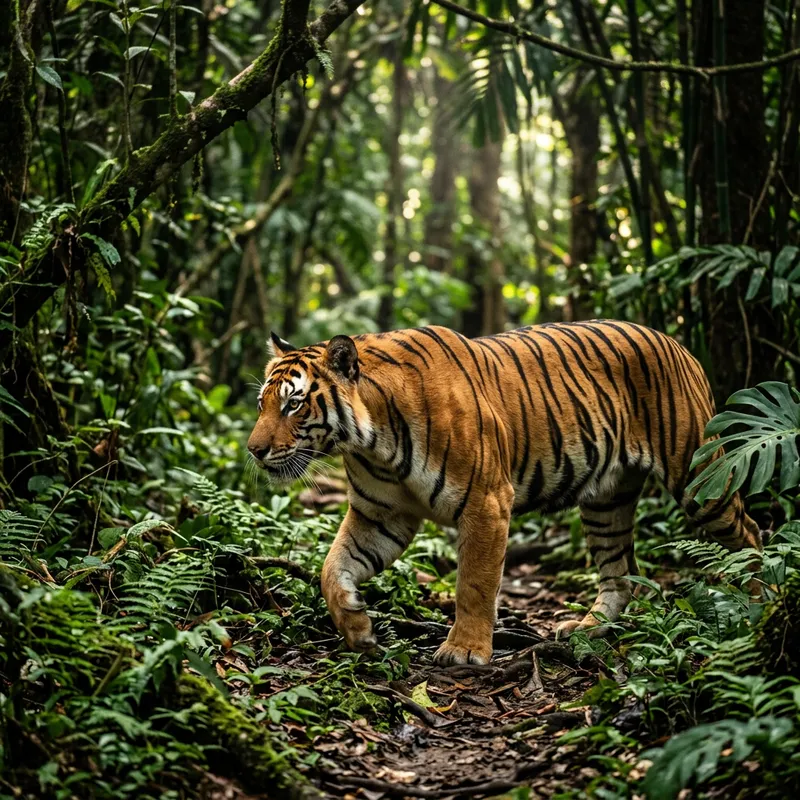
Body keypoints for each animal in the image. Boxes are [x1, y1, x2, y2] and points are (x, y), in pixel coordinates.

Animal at [246, 321, 762, 665]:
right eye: (262, 404)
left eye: (293, 404)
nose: (253, 450)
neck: (371, 442)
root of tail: (679, 344)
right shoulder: (380, 514)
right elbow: (331, 569)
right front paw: (356, 627)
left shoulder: (487, 501)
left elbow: (474, 583)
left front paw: (464, 650)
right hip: (606, 501)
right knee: (620, 573)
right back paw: (587, 630)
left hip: (700, 479)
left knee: (750, 533)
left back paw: (760, 603)